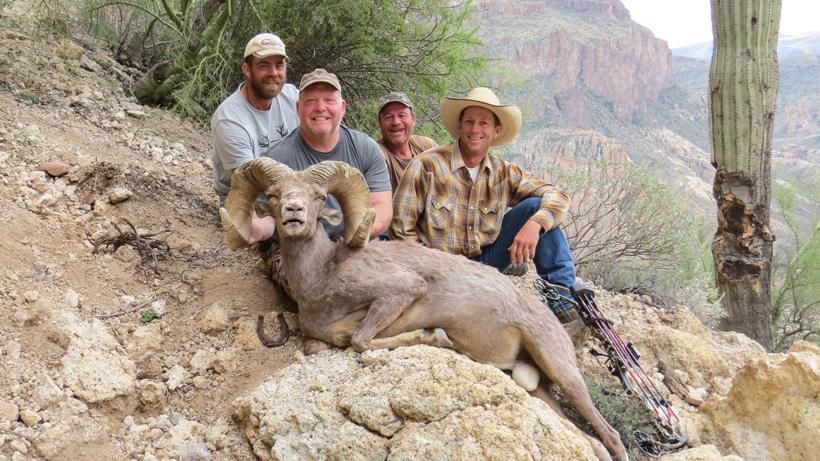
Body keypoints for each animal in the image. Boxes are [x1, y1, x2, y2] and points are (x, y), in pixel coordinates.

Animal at [220, 158, 628, 461]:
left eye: (319, 196)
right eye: (273, 195)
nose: (294, 212)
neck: (322, 276)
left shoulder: (400, 291)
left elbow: (361, 340)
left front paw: (437, 336)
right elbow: (346, 339)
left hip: (560, 369)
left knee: (611, 436)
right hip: (537, 388)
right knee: (591, 442)